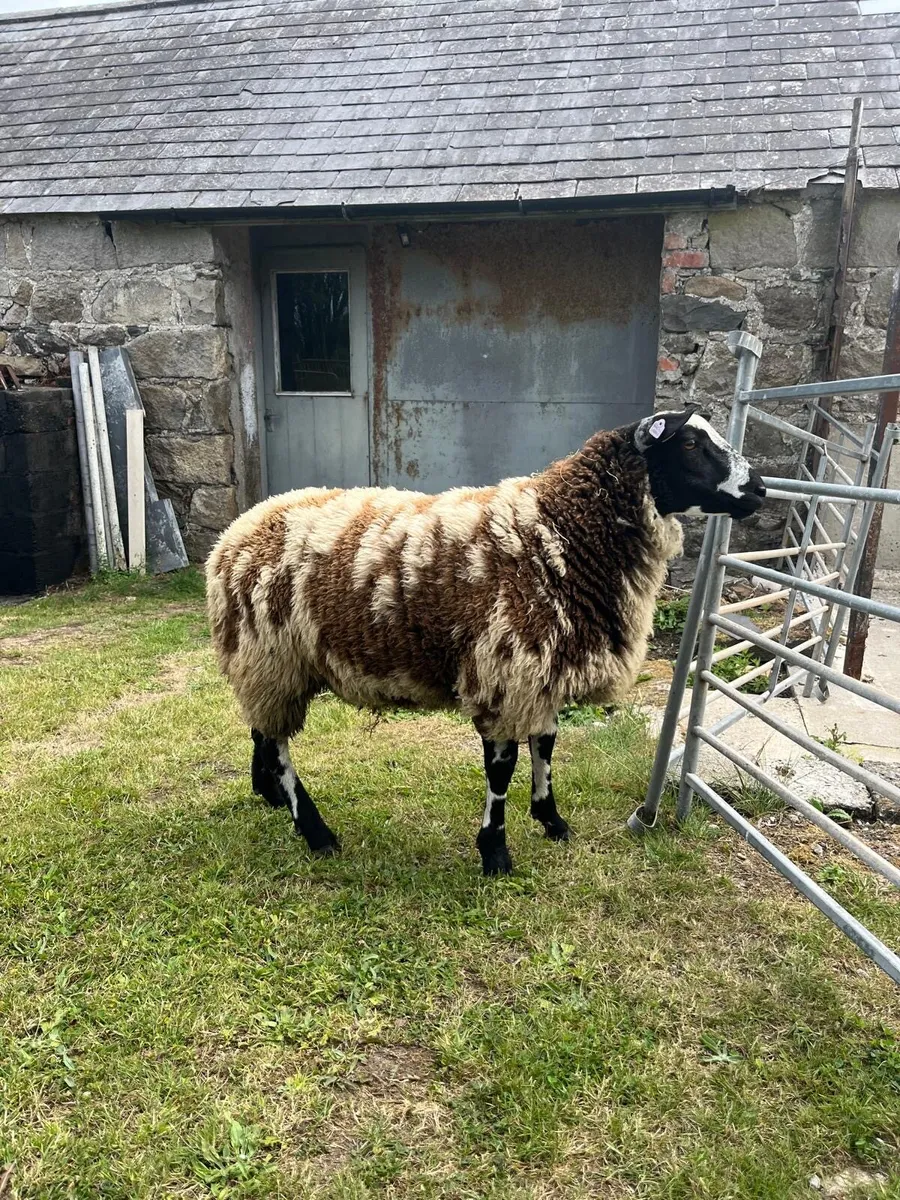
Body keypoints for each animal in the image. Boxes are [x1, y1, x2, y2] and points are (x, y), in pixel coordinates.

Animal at [206, 406, 765, 875]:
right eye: (690, 442)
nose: (759, 487)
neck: (560, 532)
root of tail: (234, 531)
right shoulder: (506, 670)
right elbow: (503, 770)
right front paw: (495, 852)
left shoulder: (542, 668)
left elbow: (546, 745)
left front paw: (552, 821)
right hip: (269, 657)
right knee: (277, 745)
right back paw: (314, 830)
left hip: (268, 664)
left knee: (261, 731)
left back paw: (269, 794)